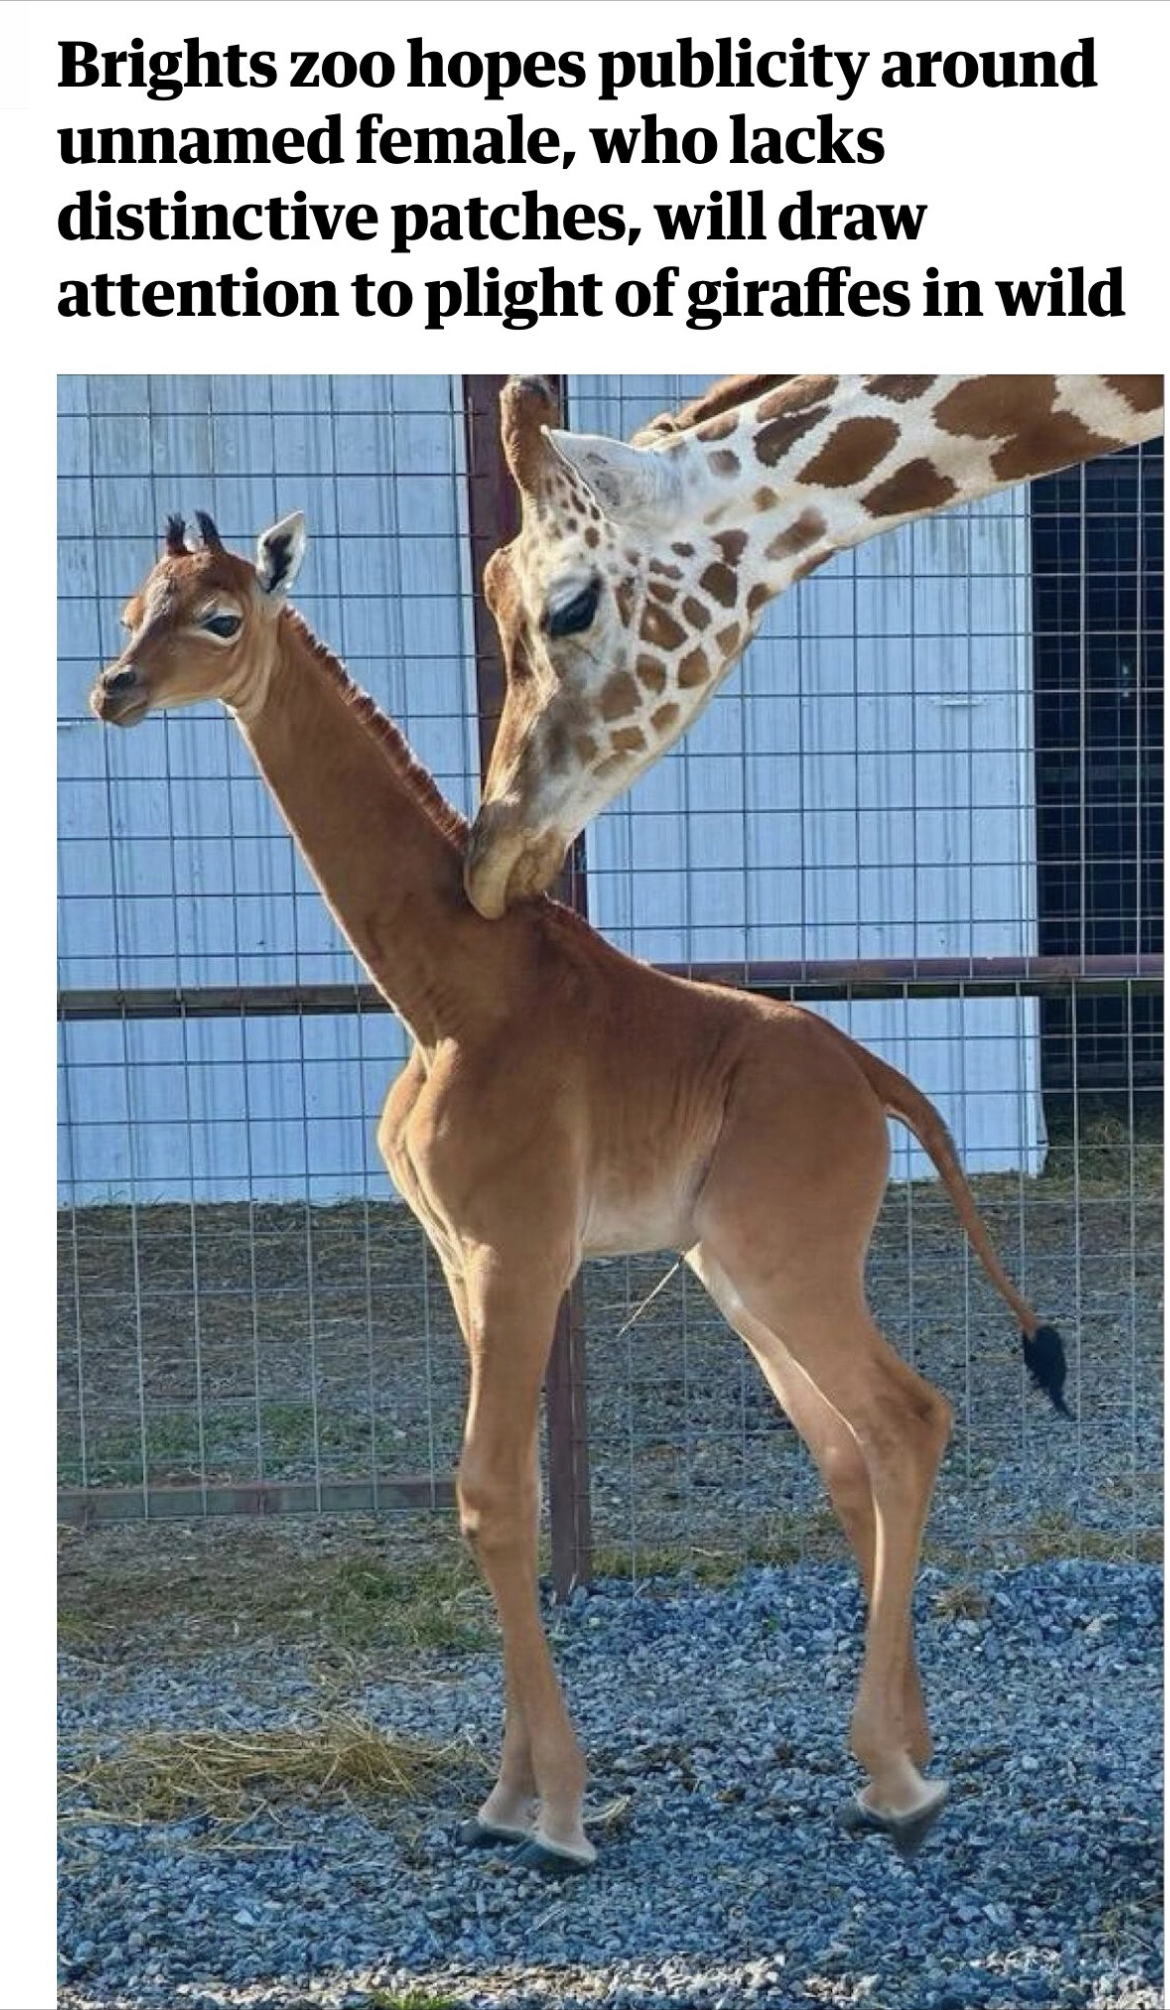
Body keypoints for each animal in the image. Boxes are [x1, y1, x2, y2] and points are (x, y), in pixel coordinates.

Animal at [90, 510, 1069, 1871]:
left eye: (222, 617)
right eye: (134, 605)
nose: (113, 690)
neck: (447, 993)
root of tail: (875, 1077)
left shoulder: (521, 1251)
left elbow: (493, 1495)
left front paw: (552, 1809)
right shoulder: (462, 1258)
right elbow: (503, 1497)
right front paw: (508, 1795)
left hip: (788, 1262)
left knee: (907, 1418)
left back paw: (894, 1777)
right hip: (737, 1276)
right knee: (849, 1448)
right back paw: (908, 1755)